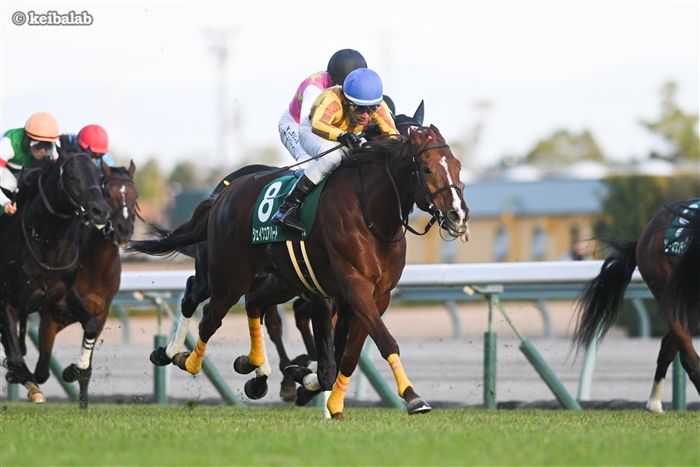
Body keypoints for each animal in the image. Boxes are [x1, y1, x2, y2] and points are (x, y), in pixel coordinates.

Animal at [0, 149, 110, 402]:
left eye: (98, 175)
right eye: (71, 176)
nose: (101, 211)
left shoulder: (60, 295)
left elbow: (91, 323)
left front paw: (76, 369)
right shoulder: (7, 300)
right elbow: (16, 357)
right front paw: (27, 382)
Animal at [31, 161, 139, 408]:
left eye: (135, 194)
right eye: (107, 193)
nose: (124, 229)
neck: (94, 268)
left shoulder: (100, 314)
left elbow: (86, 366)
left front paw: (79, 389)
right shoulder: (52, 314)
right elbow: (42, 369)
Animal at [131, 123, 469, 419]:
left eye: (457, 165)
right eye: (426, 169)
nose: (458, 215)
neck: (371, 214)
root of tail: (224, 194)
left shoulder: (376, 296)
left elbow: (346, 355)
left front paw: (325, 397)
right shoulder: (351, 288)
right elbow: (378, 343)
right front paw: (412, 397)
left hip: (276, 280)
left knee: (251, 306)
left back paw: (254, 369)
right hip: (229, 277)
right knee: (207, 314)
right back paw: (184, 358)